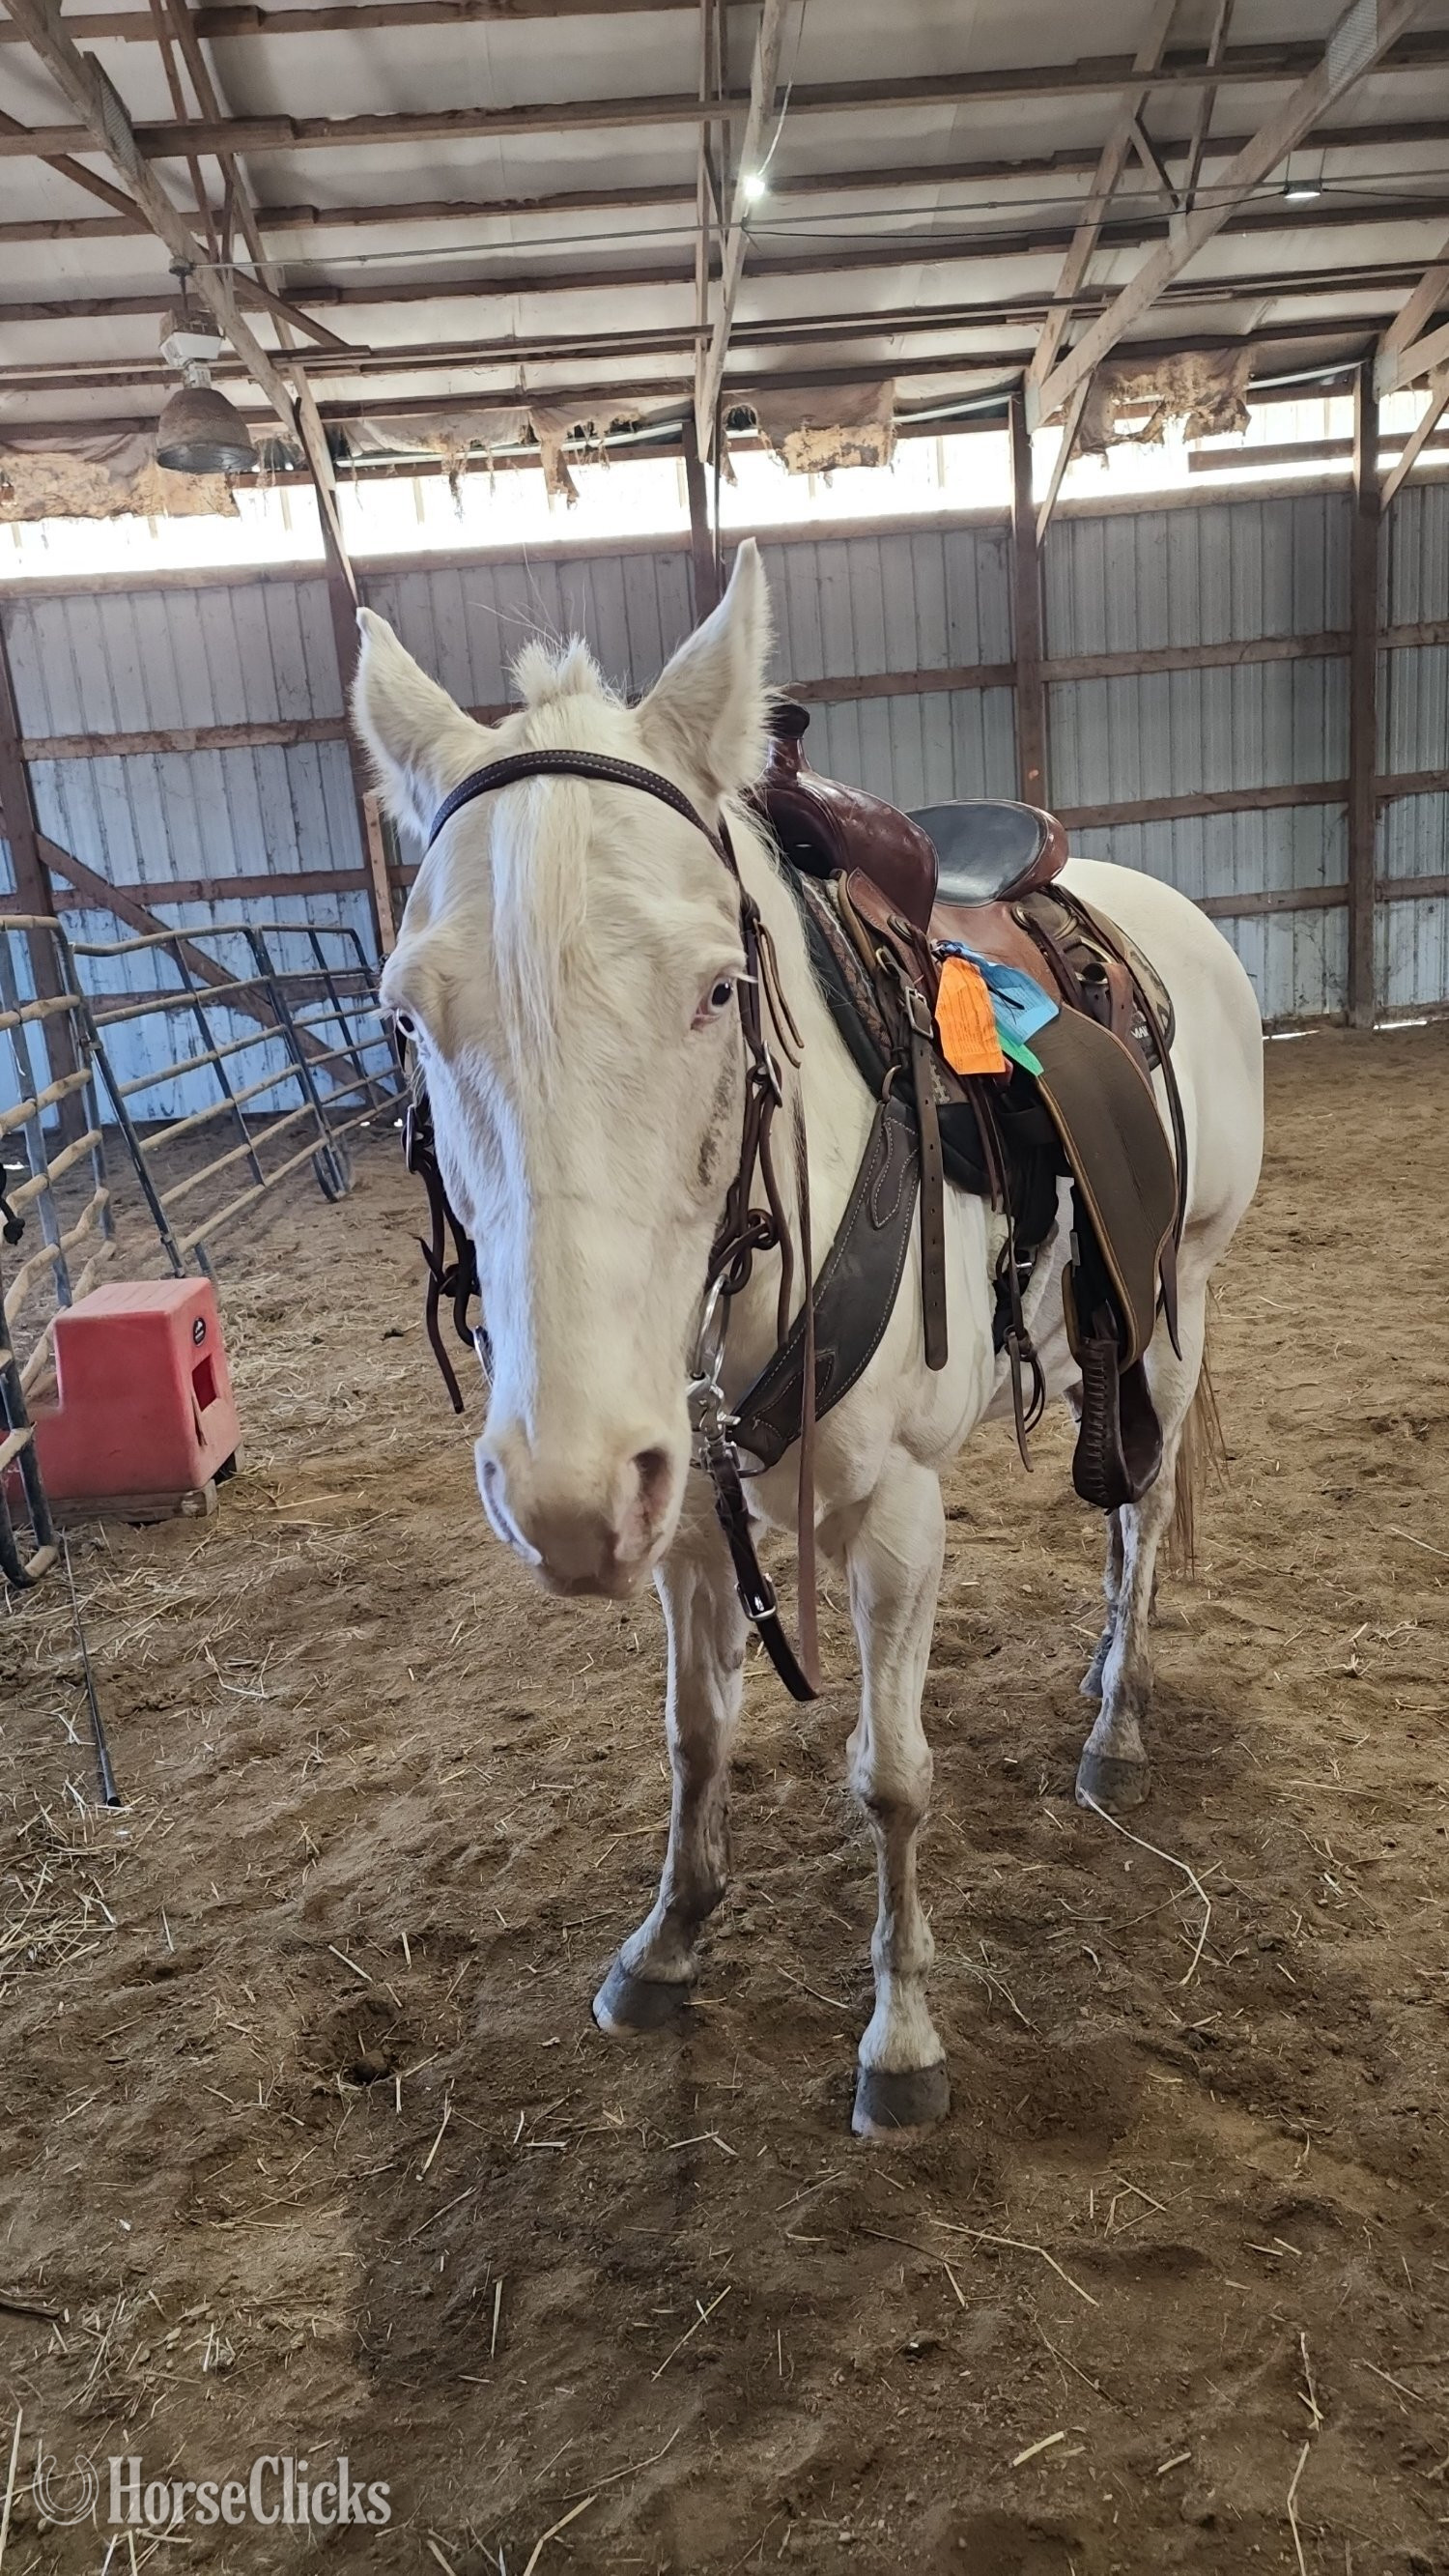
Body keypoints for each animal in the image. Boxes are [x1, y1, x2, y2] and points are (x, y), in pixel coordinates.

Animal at [352, 539, 1264, 2139]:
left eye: (718, 987)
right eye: (410, 1018)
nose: (564, 1498)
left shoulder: (896, 1511)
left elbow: (891, 1776)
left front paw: (901, 2035)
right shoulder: (686, 1508)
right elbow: (695, 1734)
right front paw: (666, 1943)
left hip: (1180, 1294)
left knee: (1141, 1512)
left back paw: (1120, 1720)